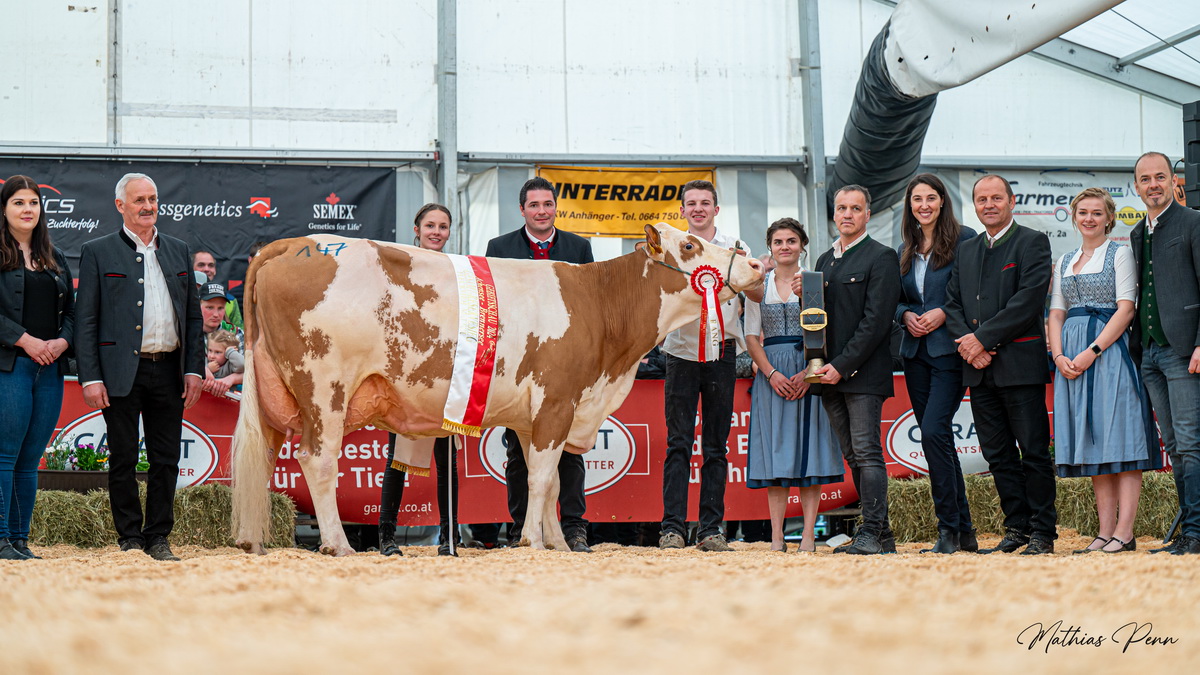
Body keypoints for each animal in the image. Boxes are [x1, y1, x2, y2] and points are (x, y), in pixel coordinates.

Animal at [229, 220, 763, 552]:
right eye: (689, 245)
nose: (756, 265)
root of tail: (294, 244)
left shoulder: (536, 417)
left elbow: (547, 482)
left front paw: (558, 542)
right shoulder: (557, 400)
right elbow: (543, 479)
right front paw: (532, 541)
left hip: (274, 389)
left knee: (264, 458)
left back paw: (254, 540)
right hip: (325, 388)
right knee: (316, 461)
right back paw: (337, 545)